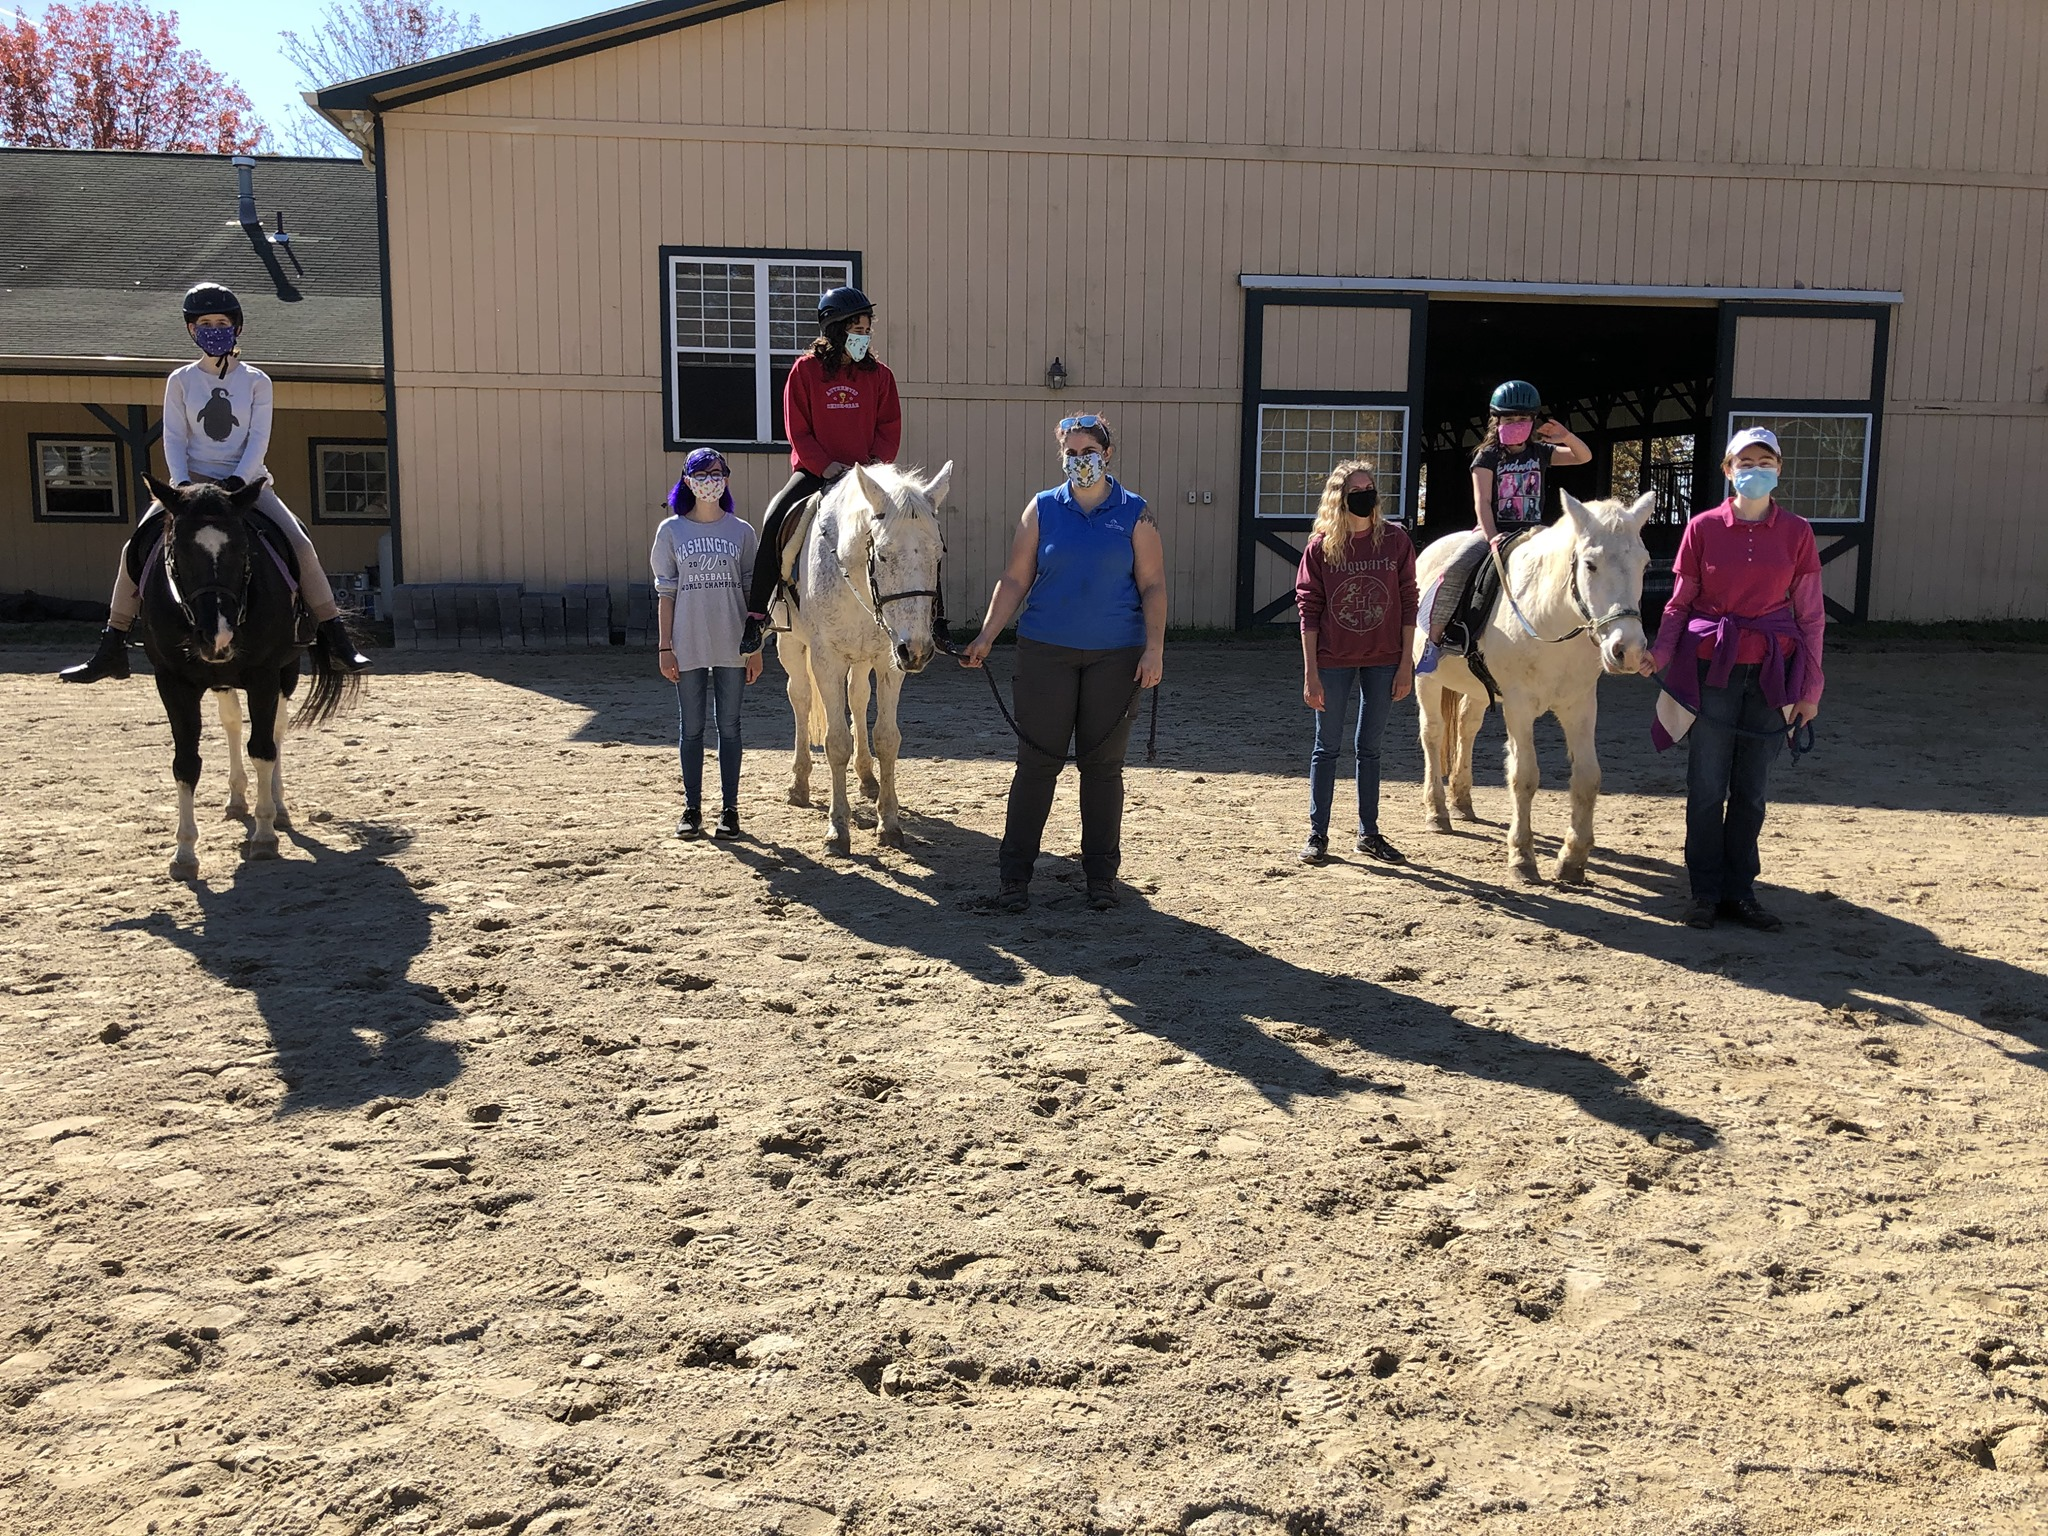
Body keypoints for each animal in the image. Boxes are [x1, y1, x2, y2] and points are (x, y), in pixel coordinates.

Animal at [136, 475, 360, 876]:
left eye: (243, 550)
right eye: (178, 551)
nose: (218, 635)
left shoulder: (264, 676)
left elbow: (263, 748)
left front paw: (265, 834)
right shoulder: (173, 682)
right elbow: (186, 762)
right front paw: (184, 852)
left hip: (284, 672)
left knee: (275, 731)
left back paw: (277, 807)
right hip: (222, 679)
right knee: (232, 722)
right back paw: (237, 798)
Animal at [774, 462, 950, 860]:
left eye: (937, 555)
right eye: (882, 555)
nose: (918, 650)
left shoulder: (889, 662)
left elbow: (886, 738)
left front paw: (890, 823)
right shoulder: (827, 661)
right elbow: (837, 742)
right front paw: (838, 829)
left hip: (864, 658)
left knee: (857, 698)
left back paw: (867, 778)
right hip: (790, 645)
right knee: (800, 698)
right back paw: (798, 782)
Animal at [1417, 487, 1654, 884]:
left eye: (1644, 563)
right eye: (1590, 564)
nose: (1629, 651)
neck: (1549, 618)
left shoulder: (1580, 706)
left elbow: (1588, 778)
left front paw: (1572, 860)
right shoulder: (1519, 705)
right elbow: (1524, 776)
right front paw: (1522, 857)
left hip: (1477, 689)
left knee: (1466, 726)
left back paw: (1462, 800)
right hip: (1426, 679)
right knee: (1433, 734)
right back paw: (1438, 811)